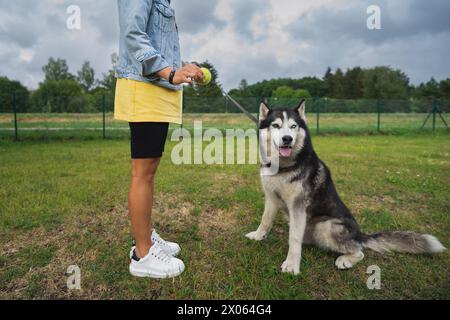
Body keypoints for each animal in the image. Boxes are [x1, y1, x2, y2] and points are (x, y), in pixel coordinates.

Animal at [246, 100, 446, 276]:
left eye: (293, 126)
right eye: (276, 125)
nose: (287, 139)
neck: (282, 167)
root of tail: (359, 235)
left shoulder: (298, 206)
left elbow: (294, 239)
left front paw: (292, 265)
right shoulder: (271, 197)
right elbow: (265, 220)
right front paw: (258, 235)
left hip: (325, 227)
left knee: (360, 251)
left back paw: (346, 260)